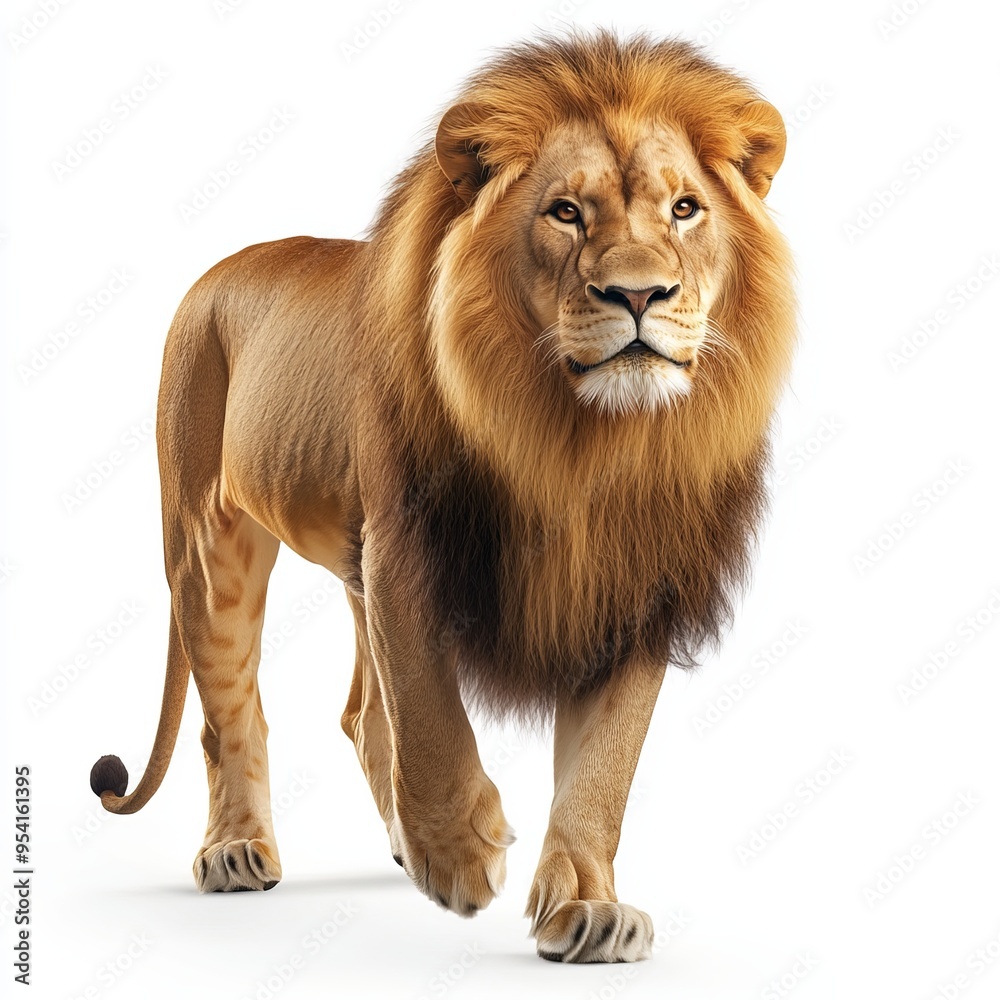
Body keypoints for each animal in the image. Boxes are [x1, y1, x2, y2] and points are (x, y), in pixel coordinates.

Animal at [89, 32, 795, 963]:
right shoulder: (406, 546)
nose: (640, 294)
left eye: (685, 209)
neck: (584, 446)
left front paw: (587, 905)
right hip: (210, 538)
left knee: (361, 714)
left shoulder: (636, 583)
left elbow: (603, 767)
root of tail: (216, 273)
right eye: (564, 213)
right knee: (231, 711)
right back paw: (239, 849)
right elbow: (428, 709)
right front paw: (461, 853)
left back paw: (397, 842)